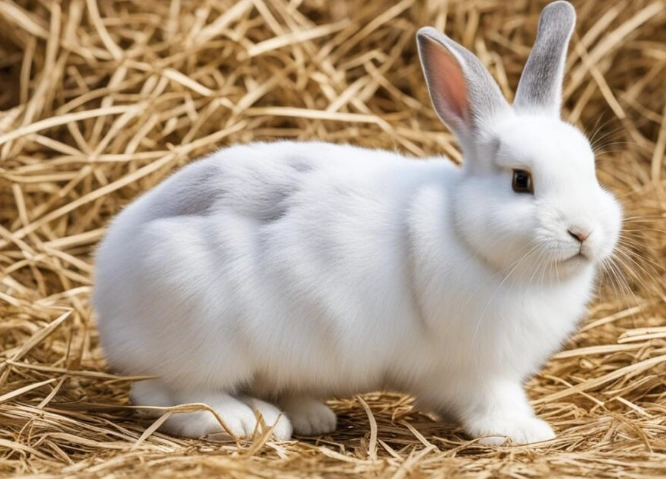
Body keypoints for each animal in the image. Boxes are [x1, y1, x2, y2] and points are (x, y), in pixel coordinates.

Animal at [93, 0, 622, 445]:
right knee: (169, 397)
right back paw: (250, 421)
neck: (464, 233)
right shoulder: (478, 371)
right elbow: (493, 402)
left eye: (592, 170)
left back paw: (310, 414)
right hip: (202, 336)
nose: (584, 232)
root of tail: (108, 282)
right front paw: (525, 432)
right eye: (520, 181)